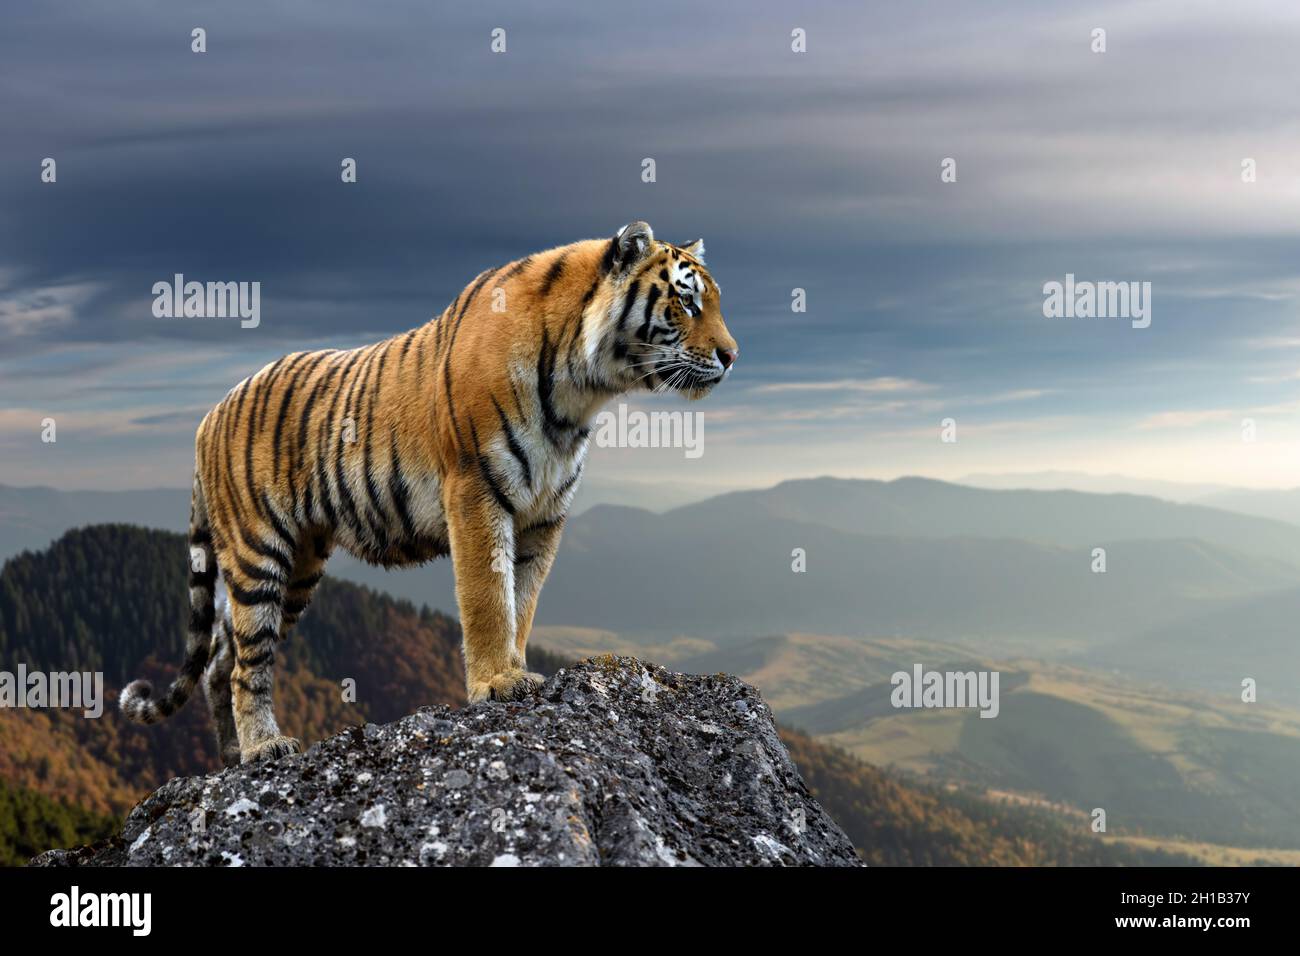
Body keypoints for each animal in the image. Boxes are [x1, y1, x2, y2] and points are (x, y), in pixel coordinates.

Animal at [122, 221, 743, 764]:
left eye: (714, 303)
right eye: (687, 303)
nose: (733, 356)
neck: (581, 392)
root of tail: (207, 417)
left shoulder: (545, 515)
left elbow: (523, 600)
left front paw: (516, 668)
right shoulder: (476, 490)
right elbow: (488, 596)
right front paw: (498, 682)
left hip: (298, 566)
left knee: (220, 659)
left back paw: (231, 758)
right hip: (259, 552)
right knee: (247, 662)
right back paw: (262, 748)